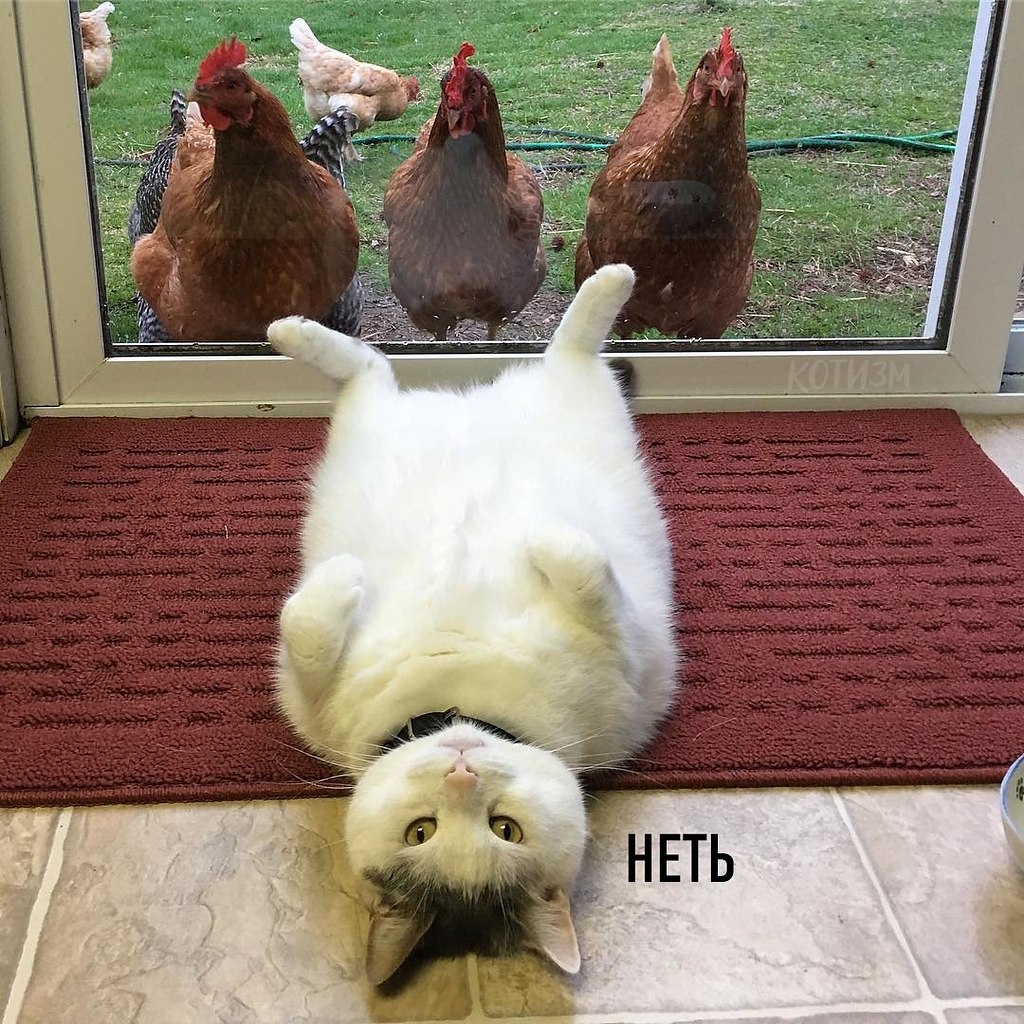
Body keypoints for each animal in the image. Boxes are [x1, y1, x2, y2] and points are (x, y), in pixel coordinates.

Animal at [267, 263, 678, 985]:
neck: (455, 702)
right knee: (379, 367)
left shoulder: (623, 641)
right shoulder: (303, 691)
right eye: (423, 831)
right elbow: (305, 630)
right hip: (392, 417)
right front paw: (343, 578)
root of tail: (468, 402)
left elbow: (583, 568)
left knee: (552, 348)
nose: (462, 771)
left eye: (504, 828)